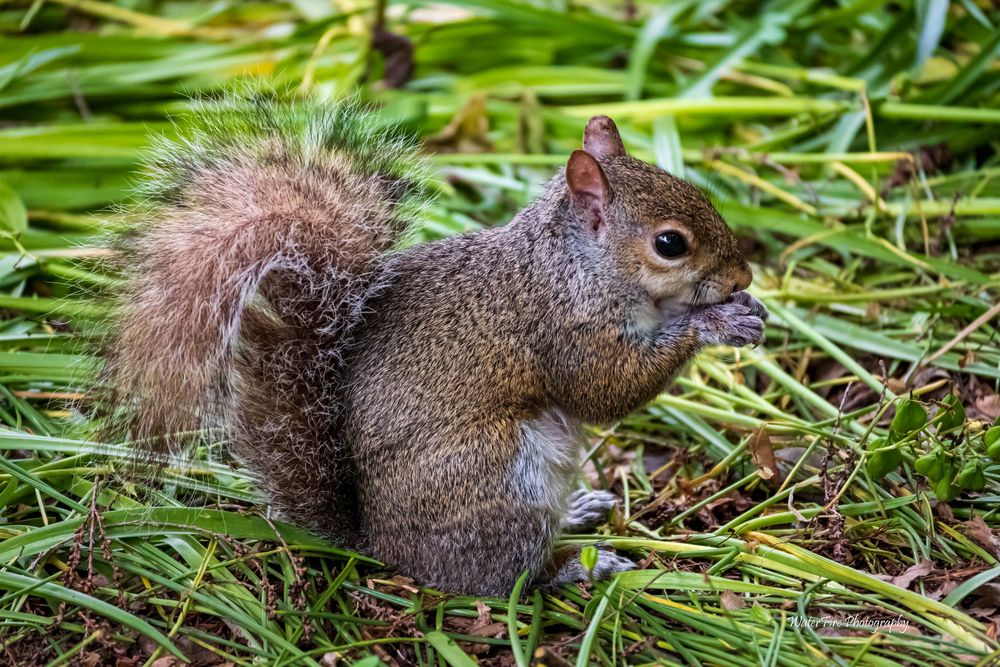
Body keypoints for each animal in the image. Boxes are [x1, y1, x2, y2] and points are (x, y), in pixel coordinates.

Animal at [98, 91, 767, 596]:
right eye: (670, 244)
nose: (744, 277)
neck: (575, 264)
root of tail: (380, 545)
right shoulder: (563, 327)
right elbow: (604, 390)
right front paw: (716, 324)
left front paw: (746, 312)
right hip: (499, 477)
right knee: (505, 578)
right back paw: (578, 564)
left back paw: (575, 512)